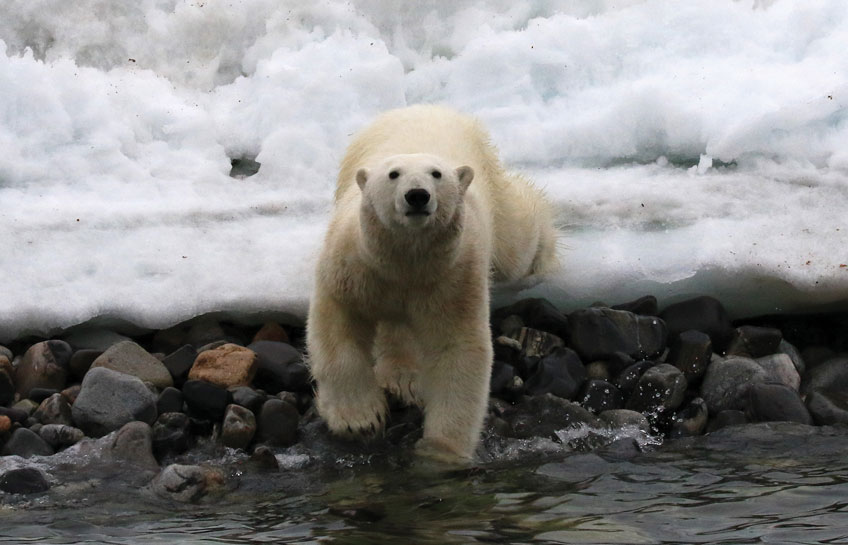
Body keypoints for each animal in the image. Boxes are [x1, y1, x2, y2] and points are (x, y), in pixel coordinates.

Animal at [304, 104, 556, 462]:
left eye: (437, 174)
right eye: (393, 174)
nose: (417, 195)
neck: (404, 260)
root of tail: (428, 106)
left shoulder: (451, 278)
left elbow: (458, 349)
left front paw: (441, 450)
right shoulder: (353, 266)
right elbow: (337, 326)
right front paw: (360, 420)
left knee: (515, 245)